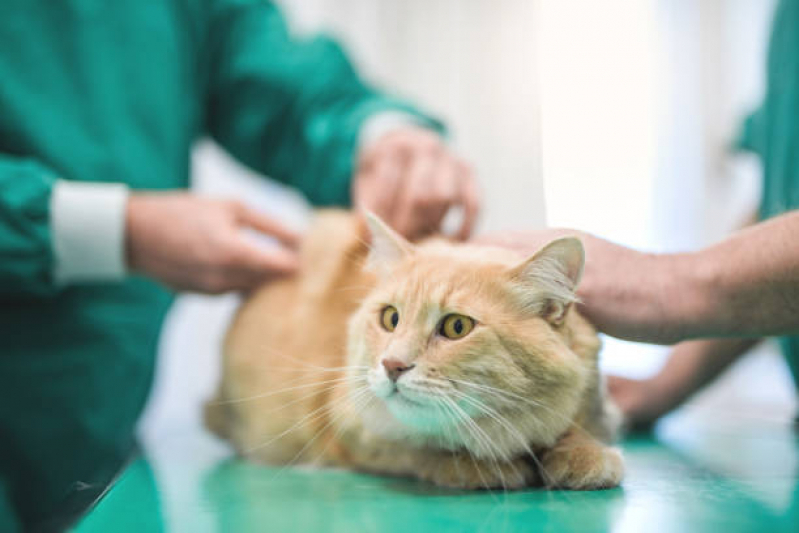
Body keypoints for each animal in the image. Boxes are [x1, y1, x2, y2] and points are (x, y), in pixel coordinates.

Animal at [206, 210, 624, 488]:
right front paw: (475, 466)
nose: (392, 365)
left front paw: (585, 453)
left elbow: (579, 427)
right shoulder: (343, 423)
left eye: (457, 327)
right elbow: (418, 450)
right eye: (390, 318)